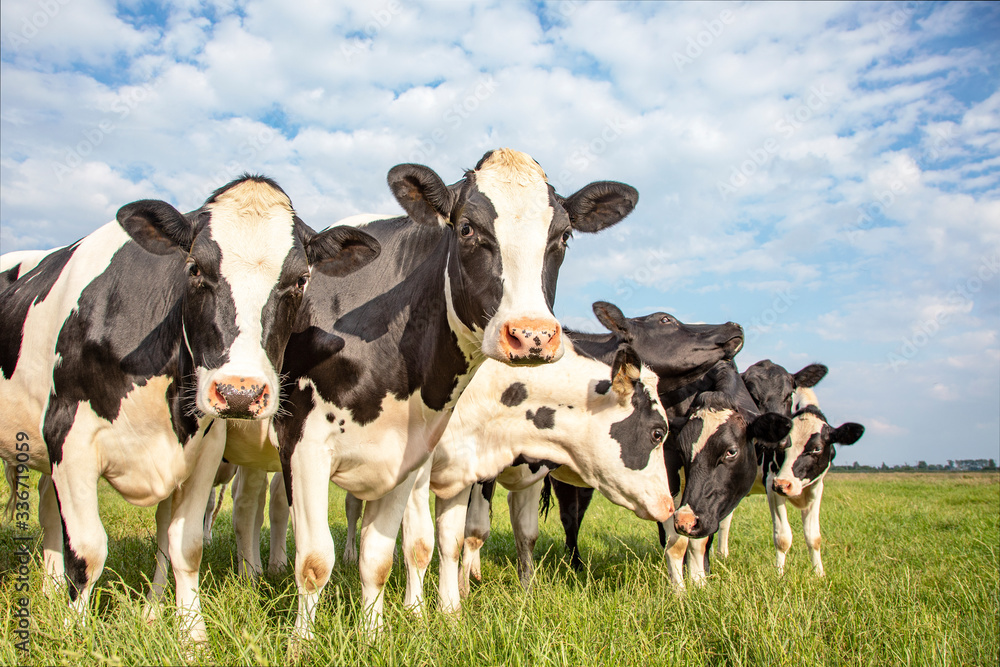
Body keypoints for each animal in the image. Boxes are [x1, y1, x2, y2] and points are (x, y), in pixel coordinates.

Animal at [0, 175, 380, 641]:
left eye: (300, 280)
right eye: (195, 268)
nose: (240, 393)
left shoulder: (202, 449)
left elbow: (185, 546)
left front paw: (191, 635)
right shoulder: (68, 436)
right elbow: (87, 551)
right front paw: (75, 634)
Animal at [269, 149, 639, 639]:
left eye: (563, 236)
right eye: (467, 229)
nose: (533, 335)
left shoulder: (414, 454)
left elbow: (400, 550)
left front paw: (399, 626)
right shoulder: (304, 444)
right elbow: (316, 559)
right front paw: (303, 643)